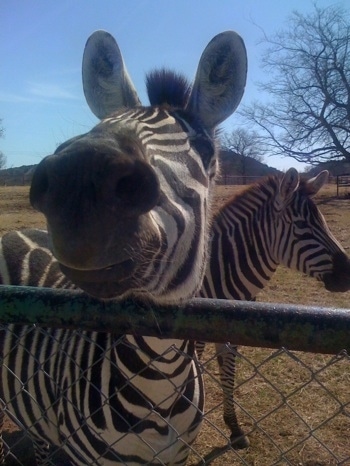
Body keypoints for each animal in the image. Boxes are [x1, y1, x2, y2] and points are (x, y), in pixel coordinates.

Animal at [197, 167, 350, 448]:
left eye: (324, 222)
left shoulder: (230, 330)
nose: (348, 274)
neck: (217, 272)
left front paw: (234, 428)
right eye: (301, 226)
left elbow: (228, 375)